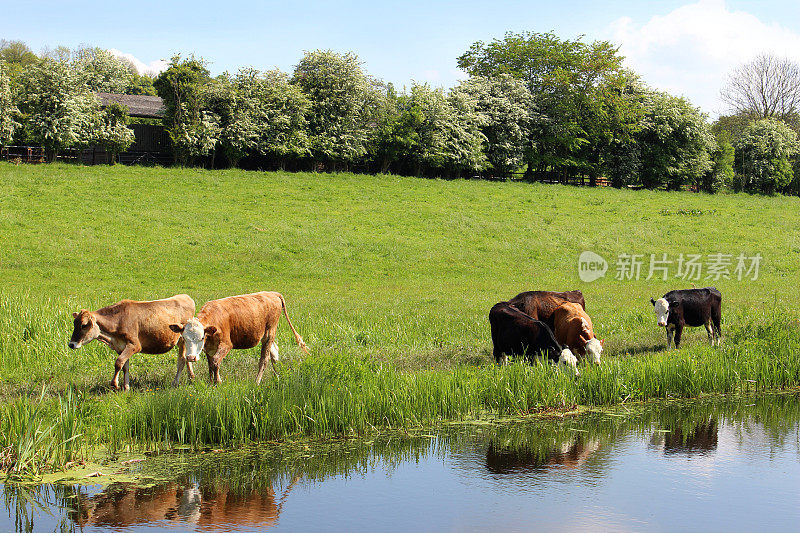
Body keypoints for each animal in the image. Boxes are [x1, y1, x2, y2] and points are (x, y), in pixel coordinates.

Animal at [170, 290, 308, 382]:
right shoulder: (209, 348)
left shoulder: (226, 344)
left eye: (201, 338)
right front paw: (211, 383)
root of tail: (272, 293)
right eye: (184, 338)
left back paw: (257, 382)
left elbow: (215, 362)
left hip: (270, 332)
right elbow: (210, 365)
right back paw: (277, 376)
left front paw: (217, 382)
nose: (191, 357)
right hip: (267, 335)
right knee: (274, 353)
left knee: (264, 359)